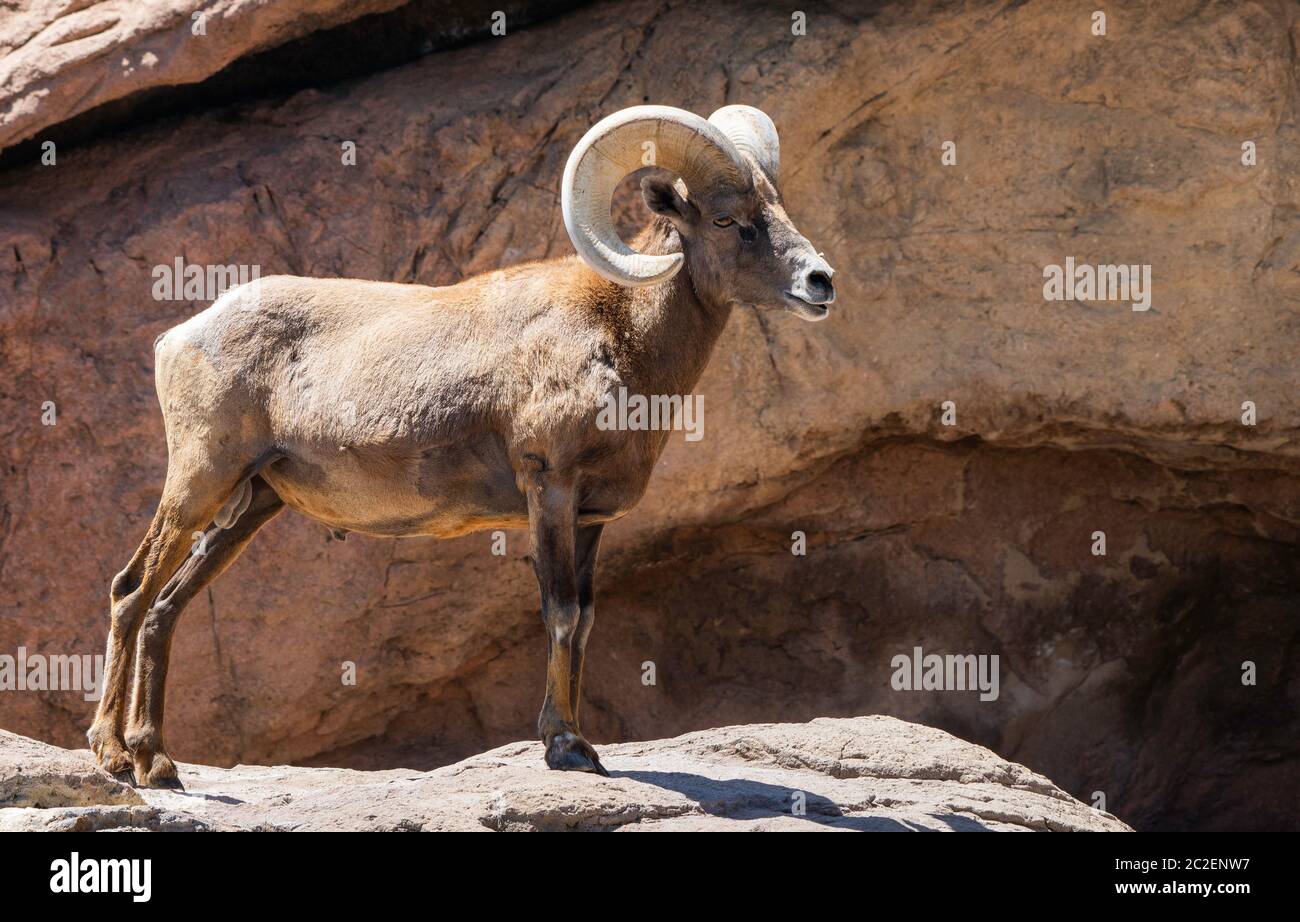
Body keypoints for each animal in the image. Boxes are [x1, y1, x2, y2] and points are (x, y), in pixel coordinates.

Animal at [89, 104, 832, 780]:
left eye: (778, 207)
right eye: (727, 220)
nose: (820, 281)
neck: (621, 335)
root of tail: (179, 336)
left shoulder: (591, 517)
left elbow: (586, 622)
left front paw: (581, 744)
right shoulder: (549, 490)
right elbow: (561, 614)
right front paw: (567, 747)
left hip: (248, 508)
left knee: (165, 607)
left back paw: (156, 760)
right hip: (200, 479)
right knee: (132, 591)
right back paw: (115, 755)